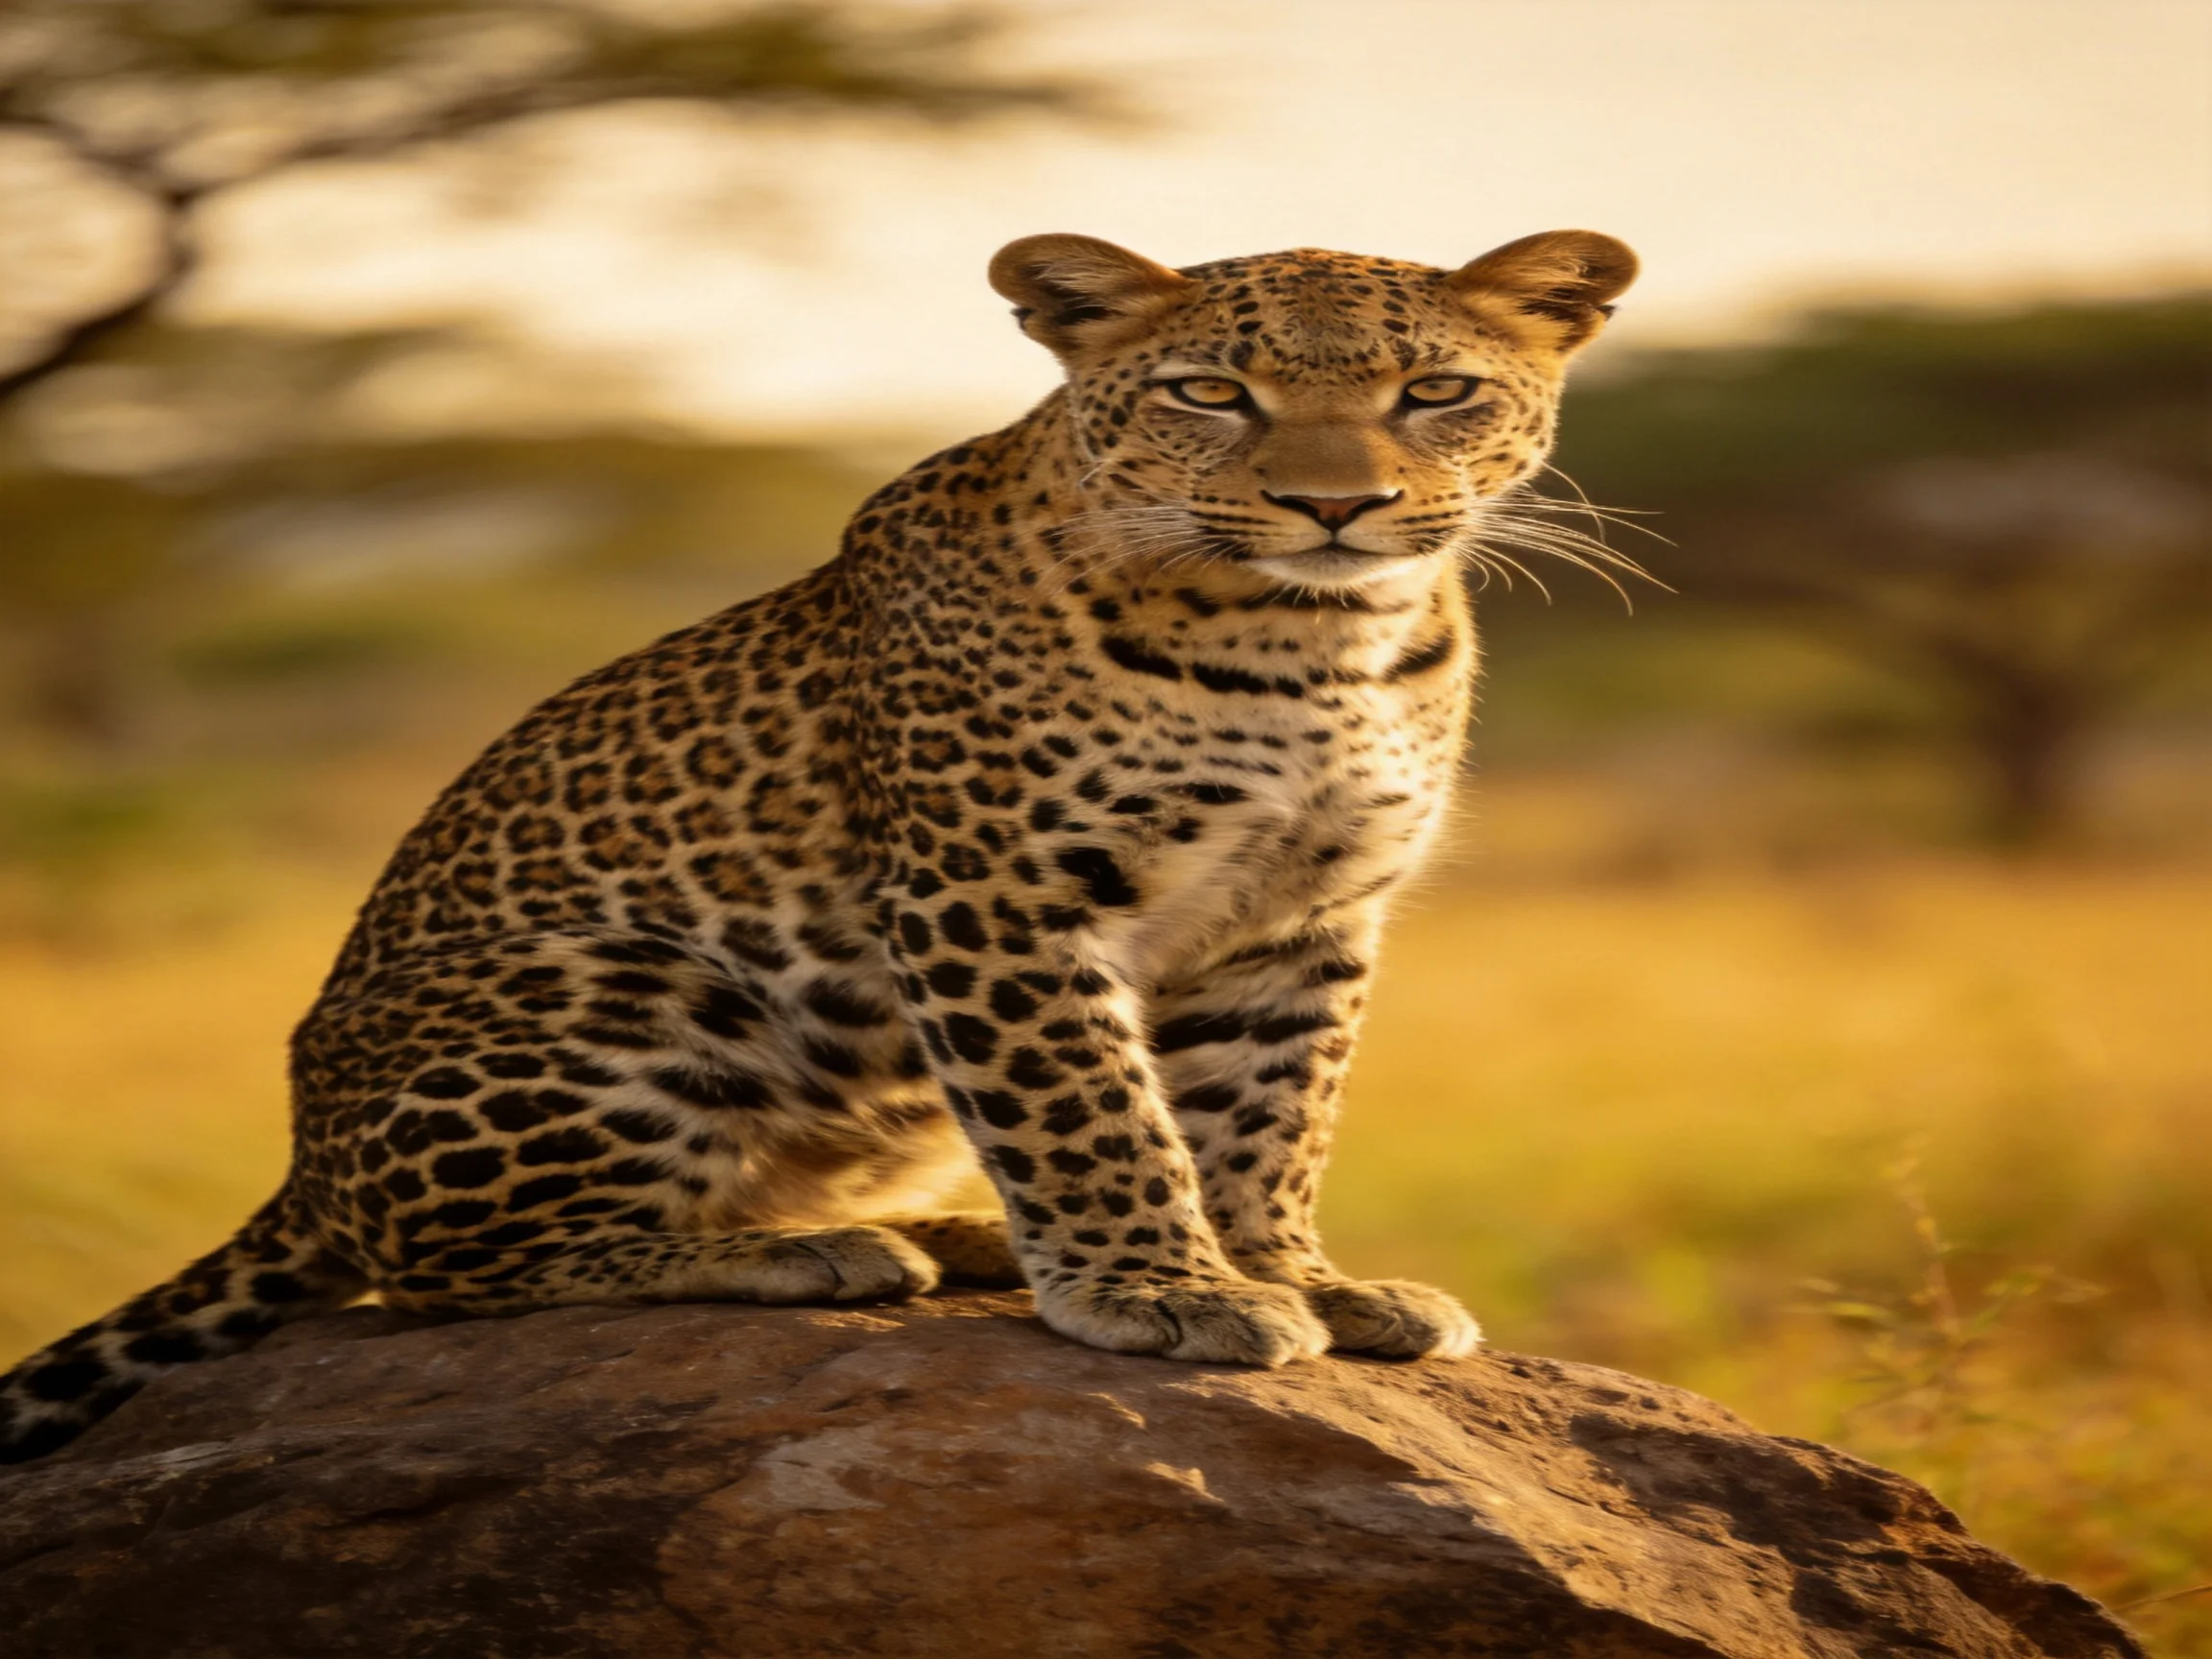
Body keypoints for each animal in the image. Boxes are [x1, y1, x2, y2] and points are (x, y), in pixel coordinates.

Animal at [0, 226, 1637, 1462]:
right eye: (1208, 390)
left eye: (1436, 390)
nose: (1333, 504)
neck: (1316, 647)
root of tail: (300, 1165)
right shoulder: (1001, 895)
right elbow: (1091, 1110)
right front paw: (1161, 1288)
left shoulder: (1302, 921)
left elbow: (1268, 1116)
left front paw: (1290, 1275)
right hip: (634, 985)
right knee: (436, 1276)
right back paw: (803, 1256)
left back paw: (957, 1239)